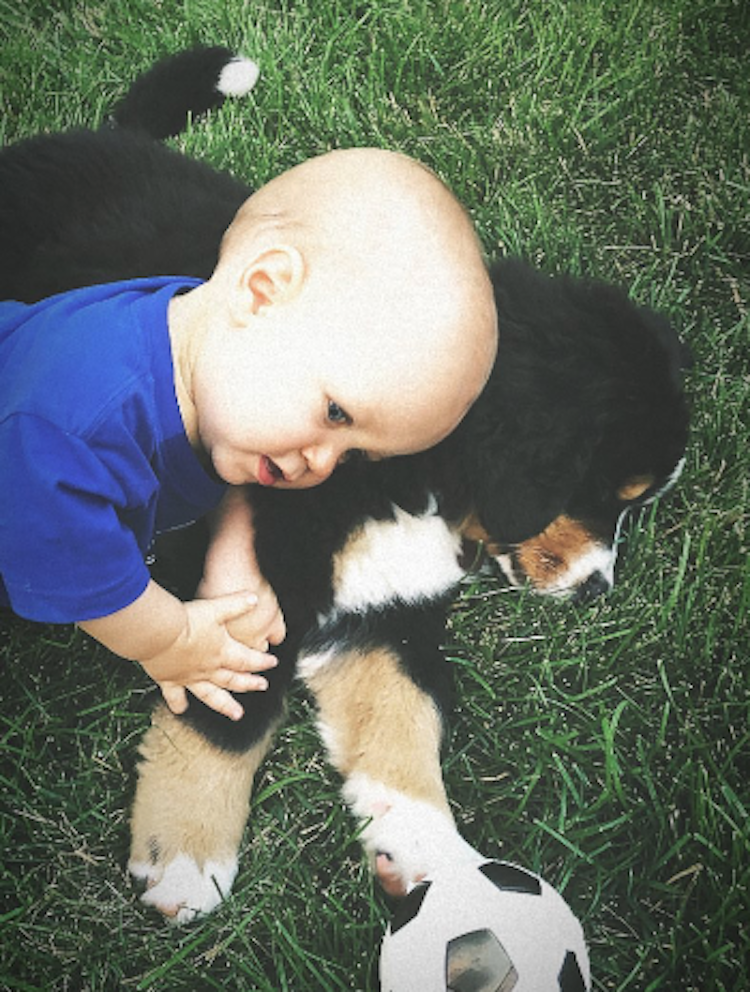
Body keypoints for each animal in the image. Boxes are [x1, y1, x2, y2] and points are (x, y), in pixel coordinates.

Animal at [1, 48, 692, 924]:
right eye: (609, 493)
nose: (600, 590)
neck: (417, 483)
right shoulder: (252, 592)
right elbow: (230, 716)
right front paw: (187, 857)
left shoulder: (386, 617)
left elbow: (407, 731)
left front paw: (439, 863)